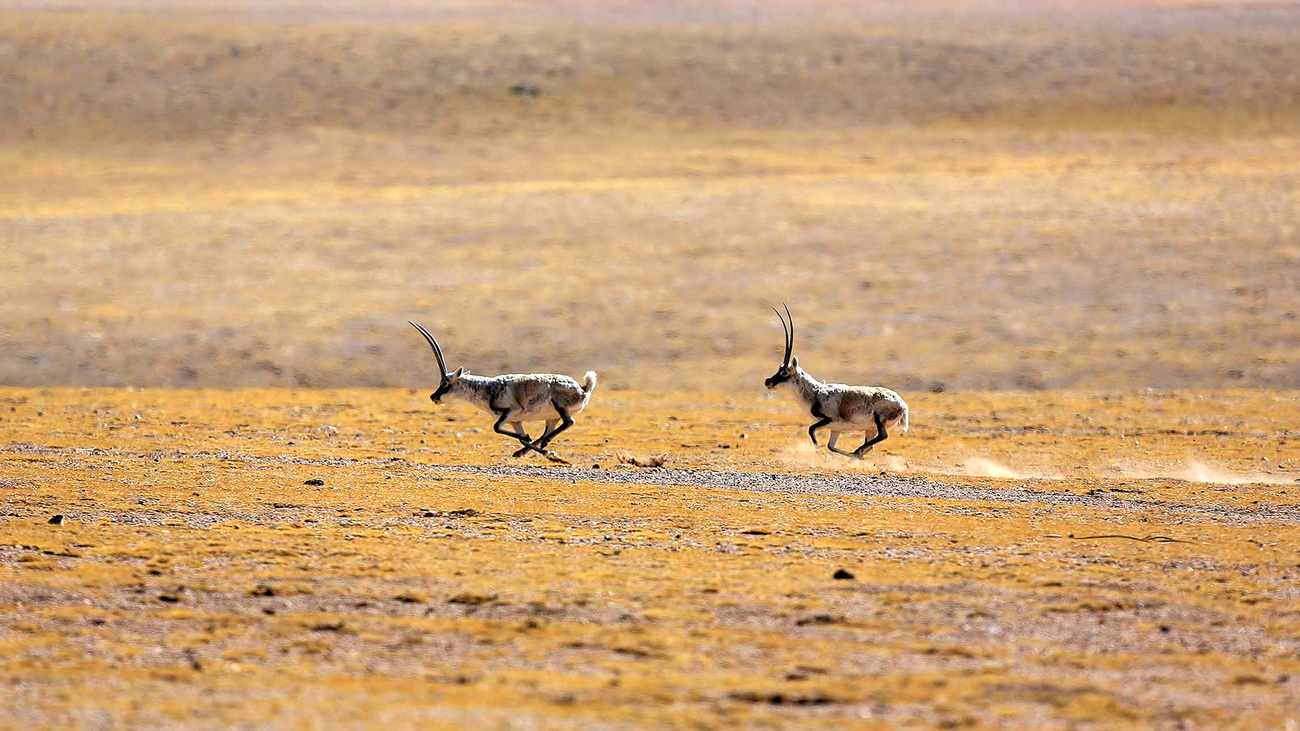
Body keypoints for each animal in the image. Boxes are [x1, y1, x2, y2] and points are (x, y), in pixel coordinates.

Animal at [408, 318, 595, 460]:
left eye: (445, 383)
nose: (433, 397)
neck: (487, 387)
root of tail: (583, 389)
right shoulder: (515, 421)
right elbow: (519, 436)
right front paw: (529, 442)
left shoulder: (510, 411)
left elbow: (496, 428)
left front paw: (527, 439)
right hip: (551, 417)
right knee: (550, 430)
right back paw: (532, 450)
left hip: (559, 406)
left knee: (569, 422)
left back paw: (544, 445)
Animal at [764, 304, 909, 457]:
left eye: (784, 372)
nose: (768, 381)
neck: (816, 393)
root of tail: (903, 405)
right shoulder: (836, 429)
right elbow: (830, 446)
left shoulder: (829, 420)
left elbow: (811, 430)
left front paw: (822, 455)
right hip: (870, 428)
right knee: (871, 445)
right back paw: (858, 454)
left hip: (878, 420)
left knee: (883, 436)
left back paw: (857, 452)